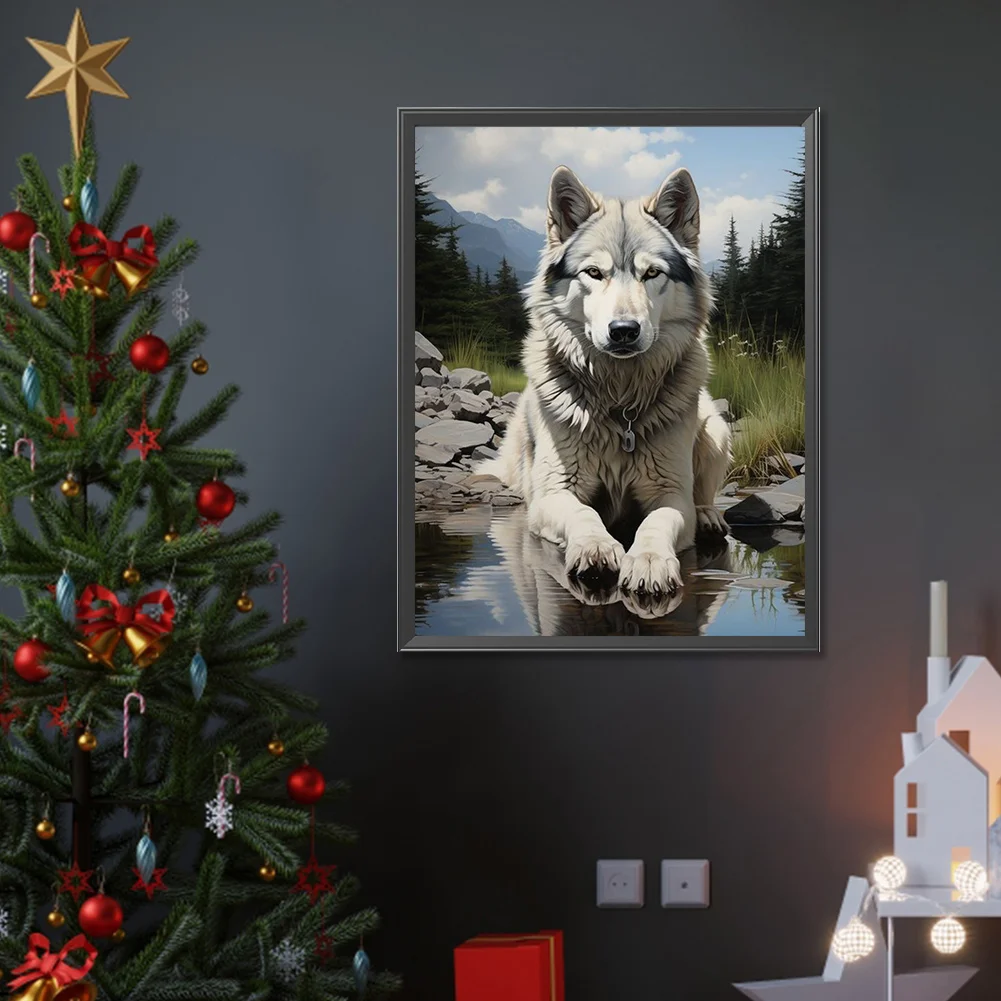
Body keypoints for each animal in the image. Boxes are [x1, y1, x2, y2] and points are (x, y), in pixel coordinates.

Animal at [478, 164, 731, 596]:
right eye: (594, 273)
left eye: (652, 273)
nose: (624, 331)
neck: (618, 401)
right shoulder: (554, 493)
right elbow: (583, 514)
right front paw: (595, 547)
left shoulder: (669, 493)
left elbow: (656, 522)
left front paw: (649, 561)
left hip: (716, 428)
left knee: (703, 491)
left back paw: (708, 516)